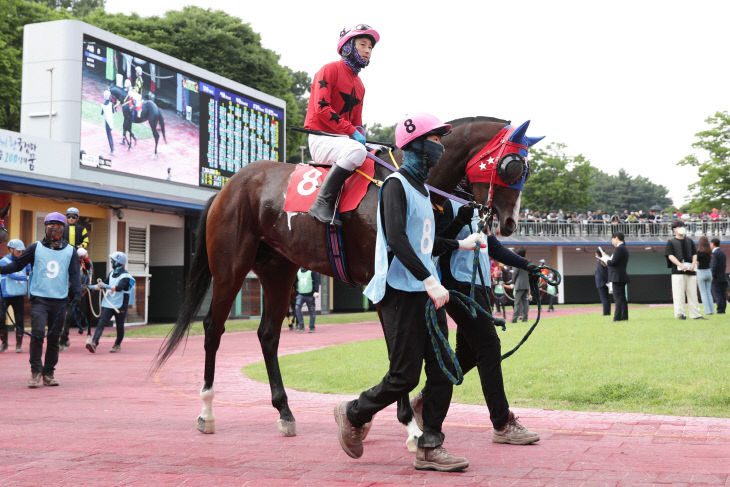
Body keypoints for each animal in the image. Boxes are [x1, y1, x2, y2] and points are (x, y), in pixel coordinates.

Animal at [154, 115, 536, 438]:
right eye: (512, 165)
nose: (508, 223)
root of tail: (226, 187)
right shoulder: (385, 286)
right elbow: (397, 350)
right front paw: (409, 426)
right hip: (230, 267)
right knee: (213, 329)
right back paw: (207, 410)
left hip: (278, 270)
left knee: (268, 335)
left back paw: (285, 412)